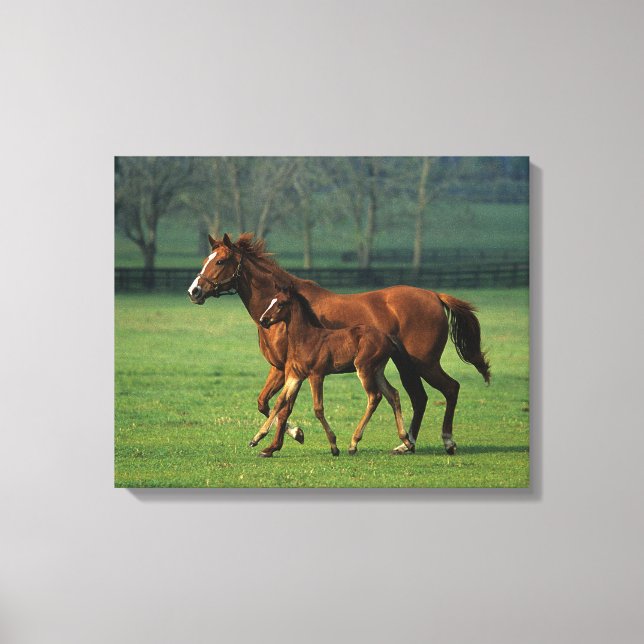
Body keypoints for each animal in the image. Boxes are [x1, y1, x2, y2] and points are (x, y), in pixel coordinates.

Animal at [249, 283, 414, 457]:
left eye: (281, 304)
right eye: (271, 301)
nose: (263, 320)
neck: (305, 339)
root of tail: (388, 337)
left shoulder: (316, 375)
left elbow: (318, 408)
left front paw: (334, 446)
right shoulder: (295, 376)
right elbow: (279, 402)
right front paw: (256, 439)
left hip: (364, 368)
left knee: (374, 397)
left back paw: (353, 443)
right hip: (377, 371)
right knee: (392, 394)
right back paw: (406, 441)